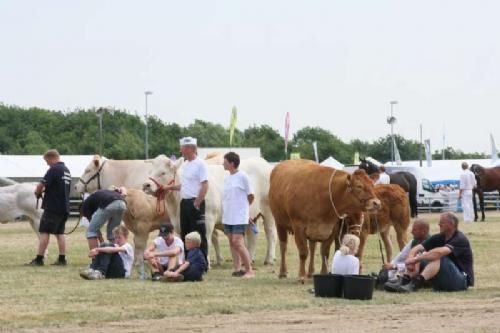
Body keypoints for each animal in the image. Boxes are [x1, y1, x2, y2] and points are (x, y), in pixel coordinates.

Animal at [144, 154, 278, 264]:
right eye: (150, 171)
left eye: (163, 173)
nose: (146, 185)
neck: (176, 203)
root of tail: (264, 163)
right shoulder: (178, 223)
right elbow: (185, 240)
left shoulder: (207, 219)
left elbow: (206, 239)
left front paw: (206, 262)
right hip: (250, 216)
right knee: (252, 236)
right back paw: (249, 259)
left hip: (268, 212)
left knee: (271, 233)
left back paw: (269, 259)